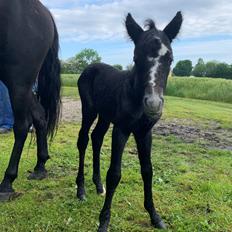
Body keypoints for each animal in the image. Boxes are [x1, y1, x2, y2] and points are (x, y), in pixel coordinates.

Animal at [0, 0, 60, 199]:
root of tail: (44, 12)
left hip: (18, 79)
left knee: (22, 126)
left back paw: (7, 183)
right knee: (40, 116)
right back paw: (40, 167)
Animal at [77, 11, 182, 231]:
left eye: (170, 58)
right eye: (136, 57)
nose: (153, 104)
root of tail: (90, 67)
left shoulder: (144, 133)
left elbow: (148, 171)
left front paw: (155, 216)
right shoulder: (122, 130)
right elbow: (114, 174)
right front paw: (104, 221)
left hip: (105, 116)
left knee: (96, 138)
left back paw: (98, 185)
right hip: (89, 111)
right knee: (83, 140)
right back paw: (80, 190)